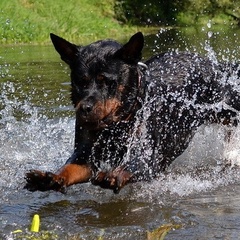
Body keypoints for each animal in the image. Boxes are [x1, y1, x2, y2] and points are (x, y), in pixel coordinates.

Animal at [24, 32, 240, 193]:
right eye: (80, 81)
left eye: (107, 81)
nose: (84, 108)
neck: (117, 124)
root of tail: (212, 64)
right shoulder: (85, 153)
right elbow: (72, 167)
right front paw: (51, 177)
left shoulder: (150, 158)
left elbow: (134, 164)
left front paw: (114, 174)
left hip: (225, 108)